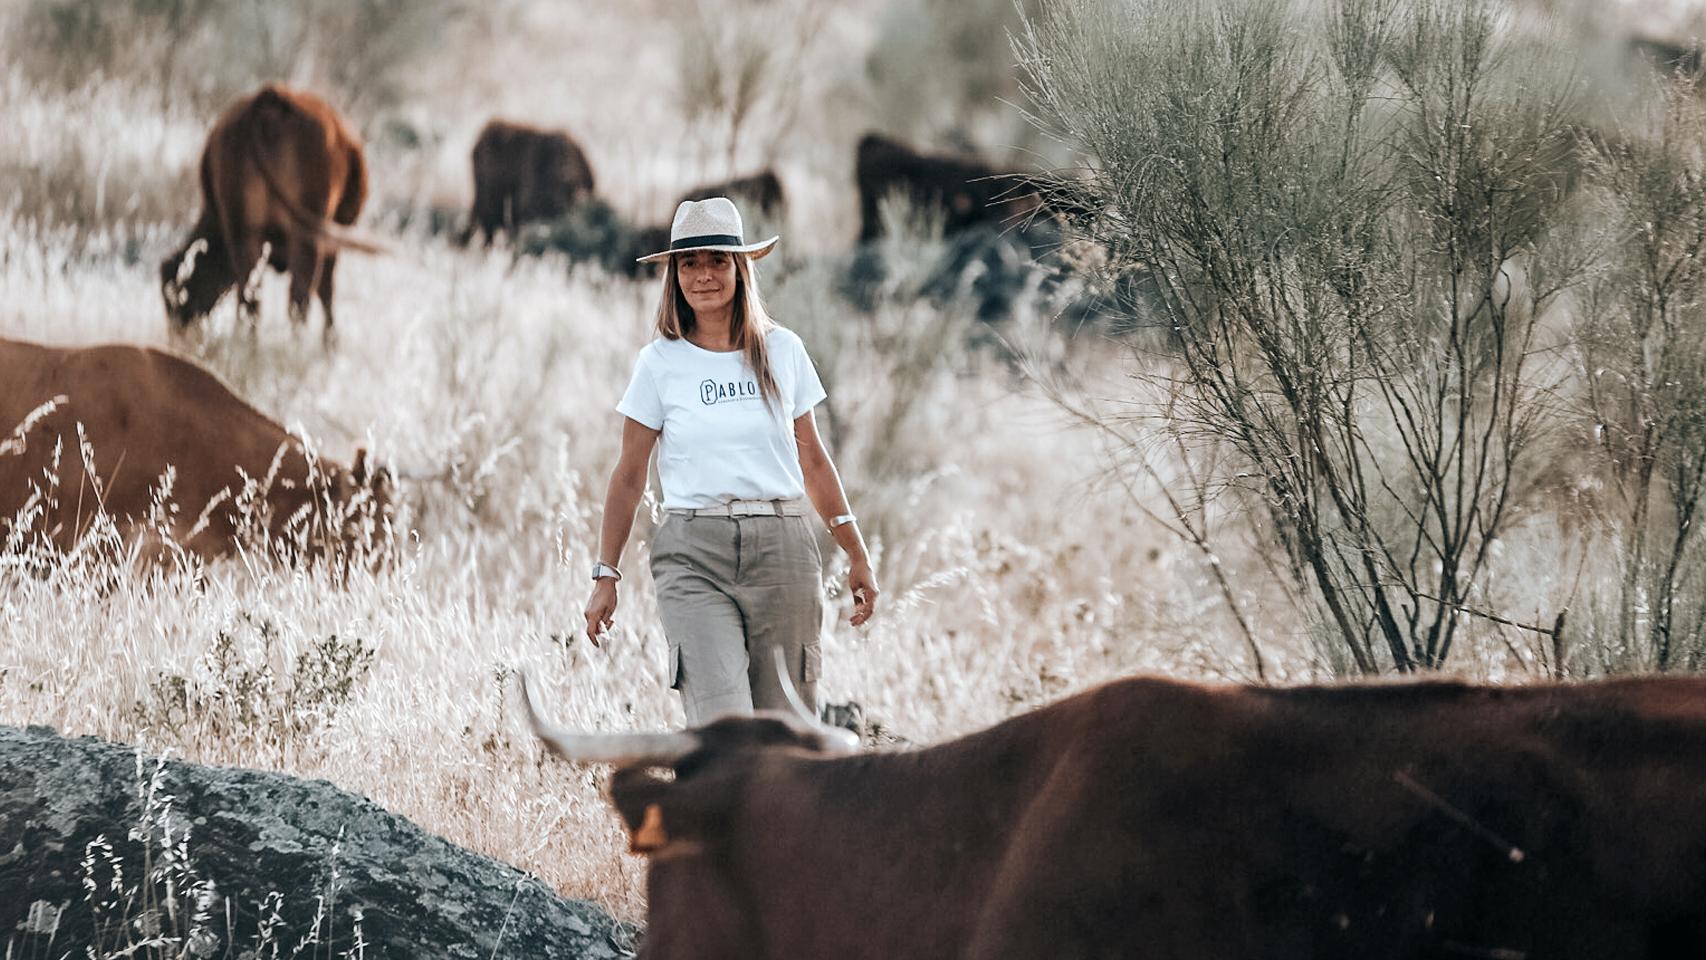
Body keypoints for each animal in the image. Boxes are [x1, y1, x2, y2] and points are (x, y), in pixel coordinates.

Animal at [160, 83, 380, 346]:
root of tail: (271, 98)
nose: (177, 334)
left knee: (251, 298)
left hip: (245, 233)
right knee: (298, 297)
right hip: (306, 235)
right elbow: (326, 291)